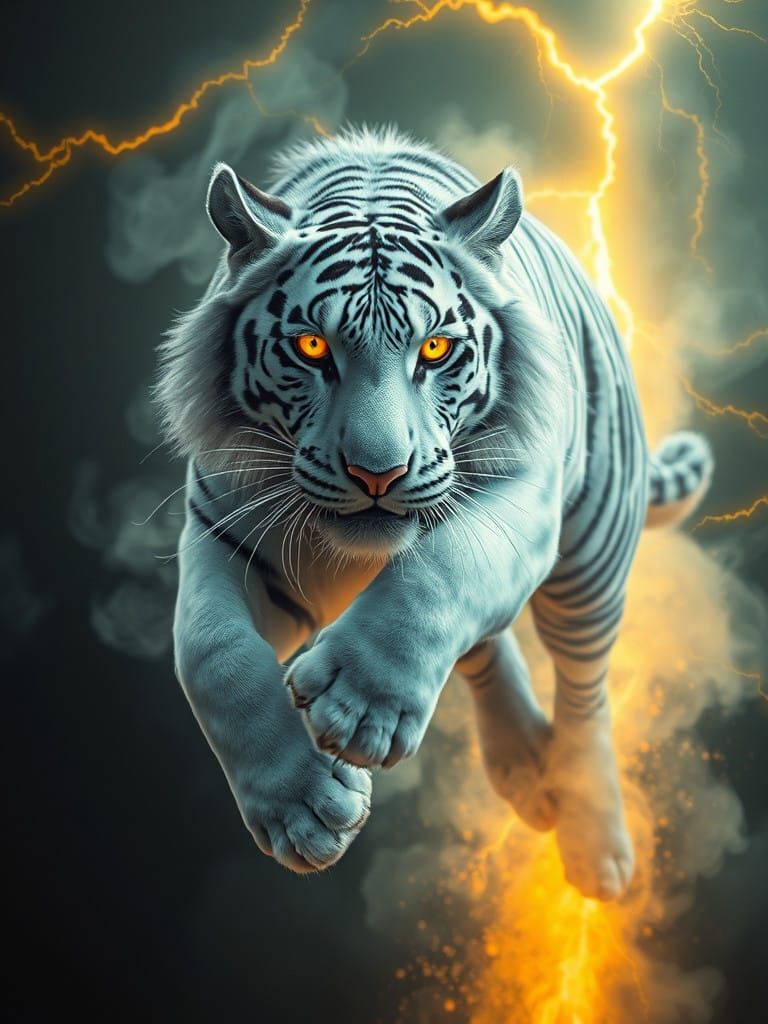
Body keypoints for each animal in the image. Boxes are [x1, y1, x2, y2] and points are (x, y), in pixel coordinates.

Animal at [159, 126, 713, 900]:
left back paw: (593, 839)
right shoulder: (221, 532)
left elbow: (439, 572)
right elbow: (210, 652)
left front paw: (357, 707)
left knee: (584, 690)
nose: (378, 472)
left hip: (591, 558)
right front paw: (300, 808)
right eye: (312, 346)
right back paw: (522, 768)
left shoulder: (524, 496)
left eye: (435, 347)